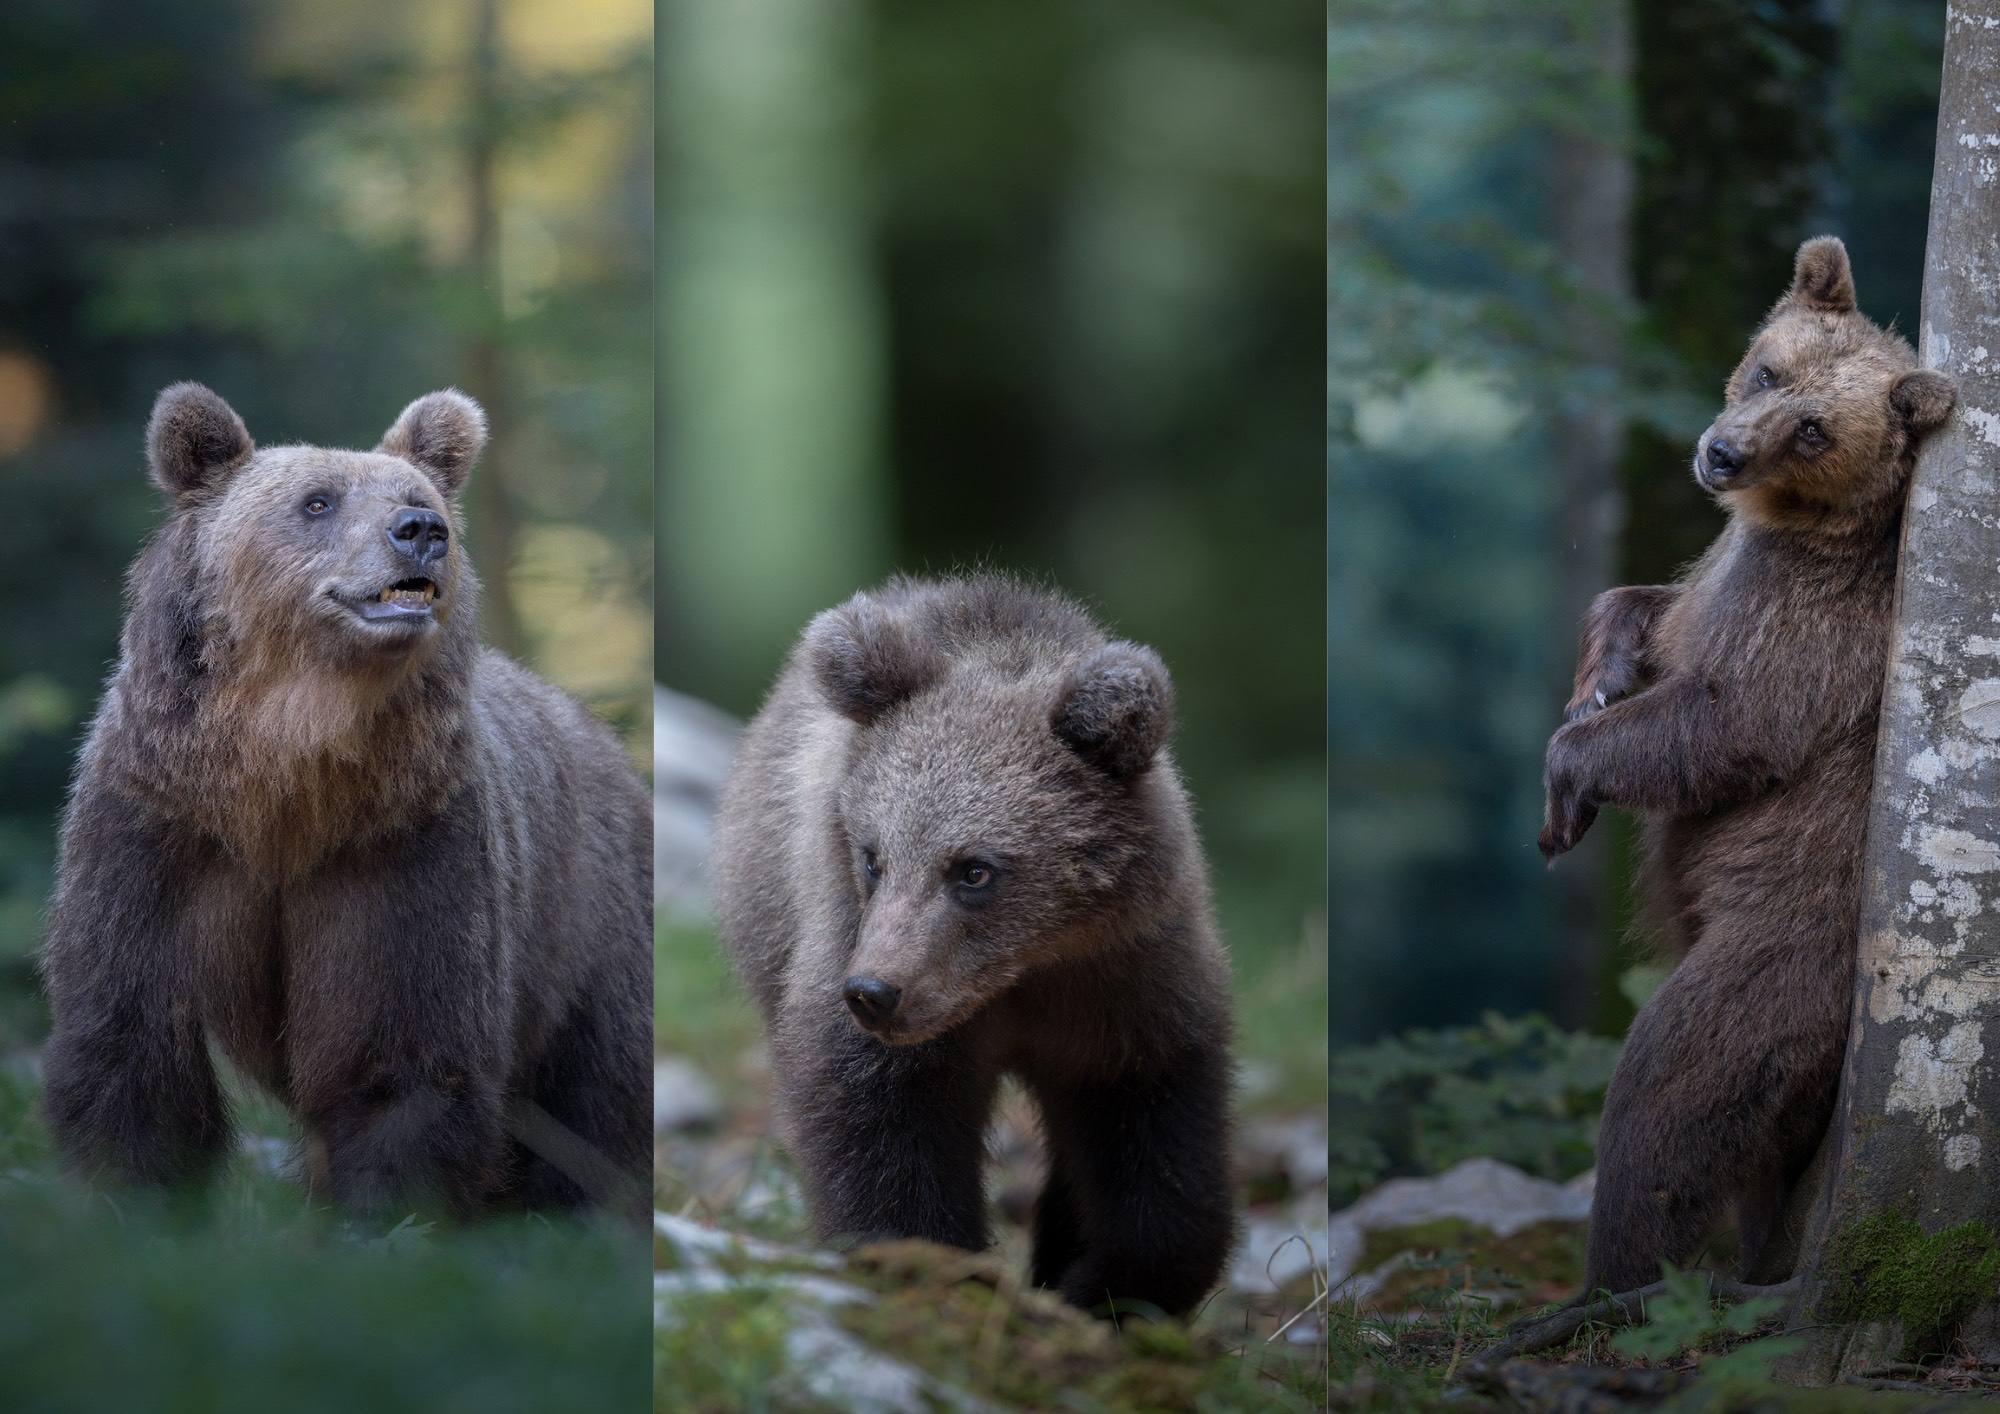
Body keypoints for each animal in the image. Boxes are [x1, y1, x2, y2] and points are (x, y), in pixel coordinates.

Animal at [38, 382, 653, 1222]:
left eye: (418, 496)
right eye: (317, 501)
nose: (420, 532)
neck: (287, 781)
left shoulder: (404, 847)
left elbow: (399, 1056)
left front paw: (386, 1216)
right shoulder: (155, 832)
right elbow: (130, 1044)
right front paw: (131, 1200)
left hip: (588, 925)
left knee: (598, 1097)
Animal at [712, 575, 1236, 1317]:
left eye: (974, 869)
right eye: (872, 856)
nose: (874, 992)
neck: (1021, 969)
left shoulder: (1123, 981)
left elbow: (1156, 1133)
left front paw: (1102, 1287)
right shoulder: (855, 948)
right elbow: (880, 1119)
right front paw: (931, 1263)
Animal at [1539, 236, 1958, 1293]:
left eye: (1814, 429)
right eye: (1770, 368)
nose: (1721, 452)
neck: (1793, 526)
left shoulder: (1816, 628)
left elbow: (1729, 723)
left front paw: (1566, 785)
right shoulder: (1721, 574)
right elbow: (1645, 606)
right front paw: (1596, 683)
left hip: (1782, 952)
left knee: (1673, 1083)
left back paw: (1610, 1284)